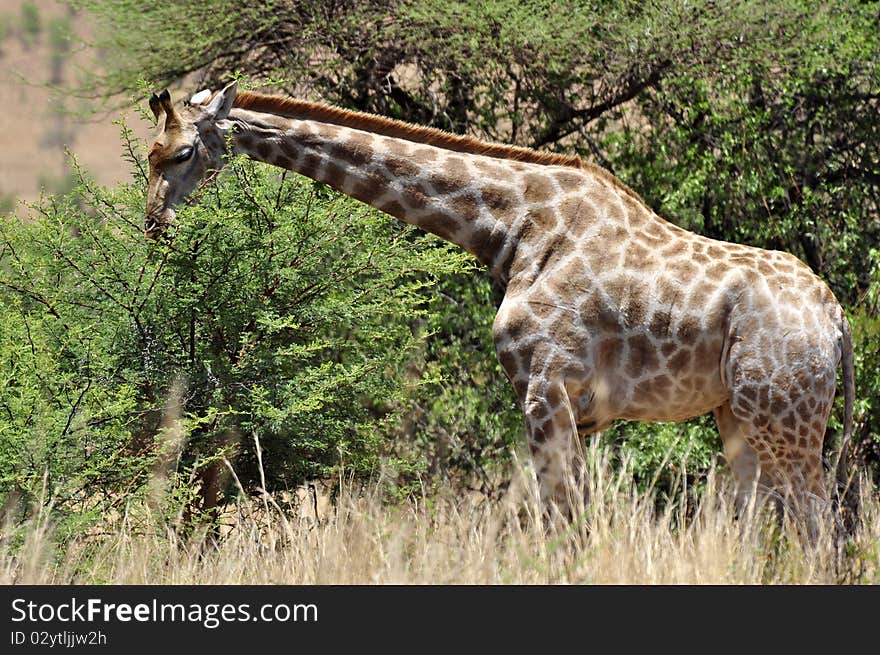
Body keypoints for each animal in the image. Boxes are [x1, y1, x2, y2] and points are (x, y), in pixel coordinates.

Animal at [143, 82, 852, 524]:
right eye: (148, 154)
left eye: (182, 152)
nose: (153, 224)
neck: (511, 227)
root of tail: (836, 318)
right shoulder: (572, 411)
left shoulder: (548, 389)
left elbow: (562, 524)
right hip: (739, 419)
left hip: (784, 418)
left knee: (820, 526)